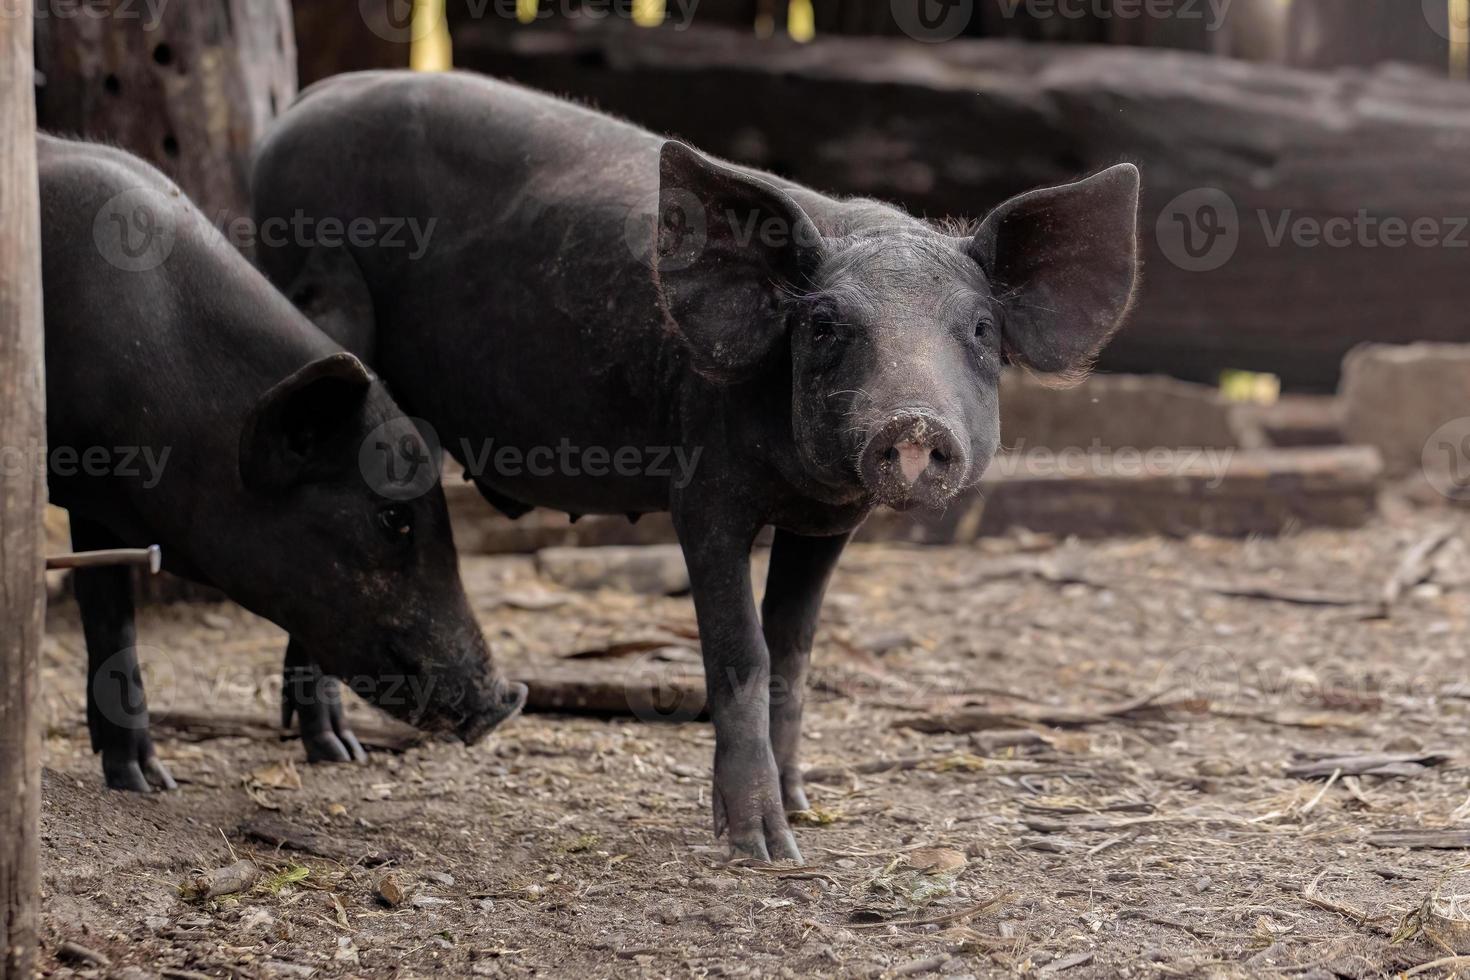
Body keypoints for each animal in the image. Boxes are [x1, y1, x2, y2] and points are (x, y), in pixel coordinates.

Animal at [38, 138, 529, 793]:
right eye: (392, 518)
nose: (506, 702)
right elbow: (111, 619)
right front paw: (150, 786)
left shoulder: (102, 505)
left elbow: (111, 614)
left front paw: (343, 753)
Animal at [249, 74, 1134, 858]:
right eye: (824, 327)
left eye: (981, 329)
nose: (912, 421)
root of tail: (296, 113)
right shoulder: (702, 490)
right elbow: (741, 651)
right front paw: (763, 848)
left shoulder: (828, 520)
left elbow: (795, 650)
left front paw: (804, 810)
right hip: (322, 301)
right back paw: (336, 752)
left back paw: (332, 748)